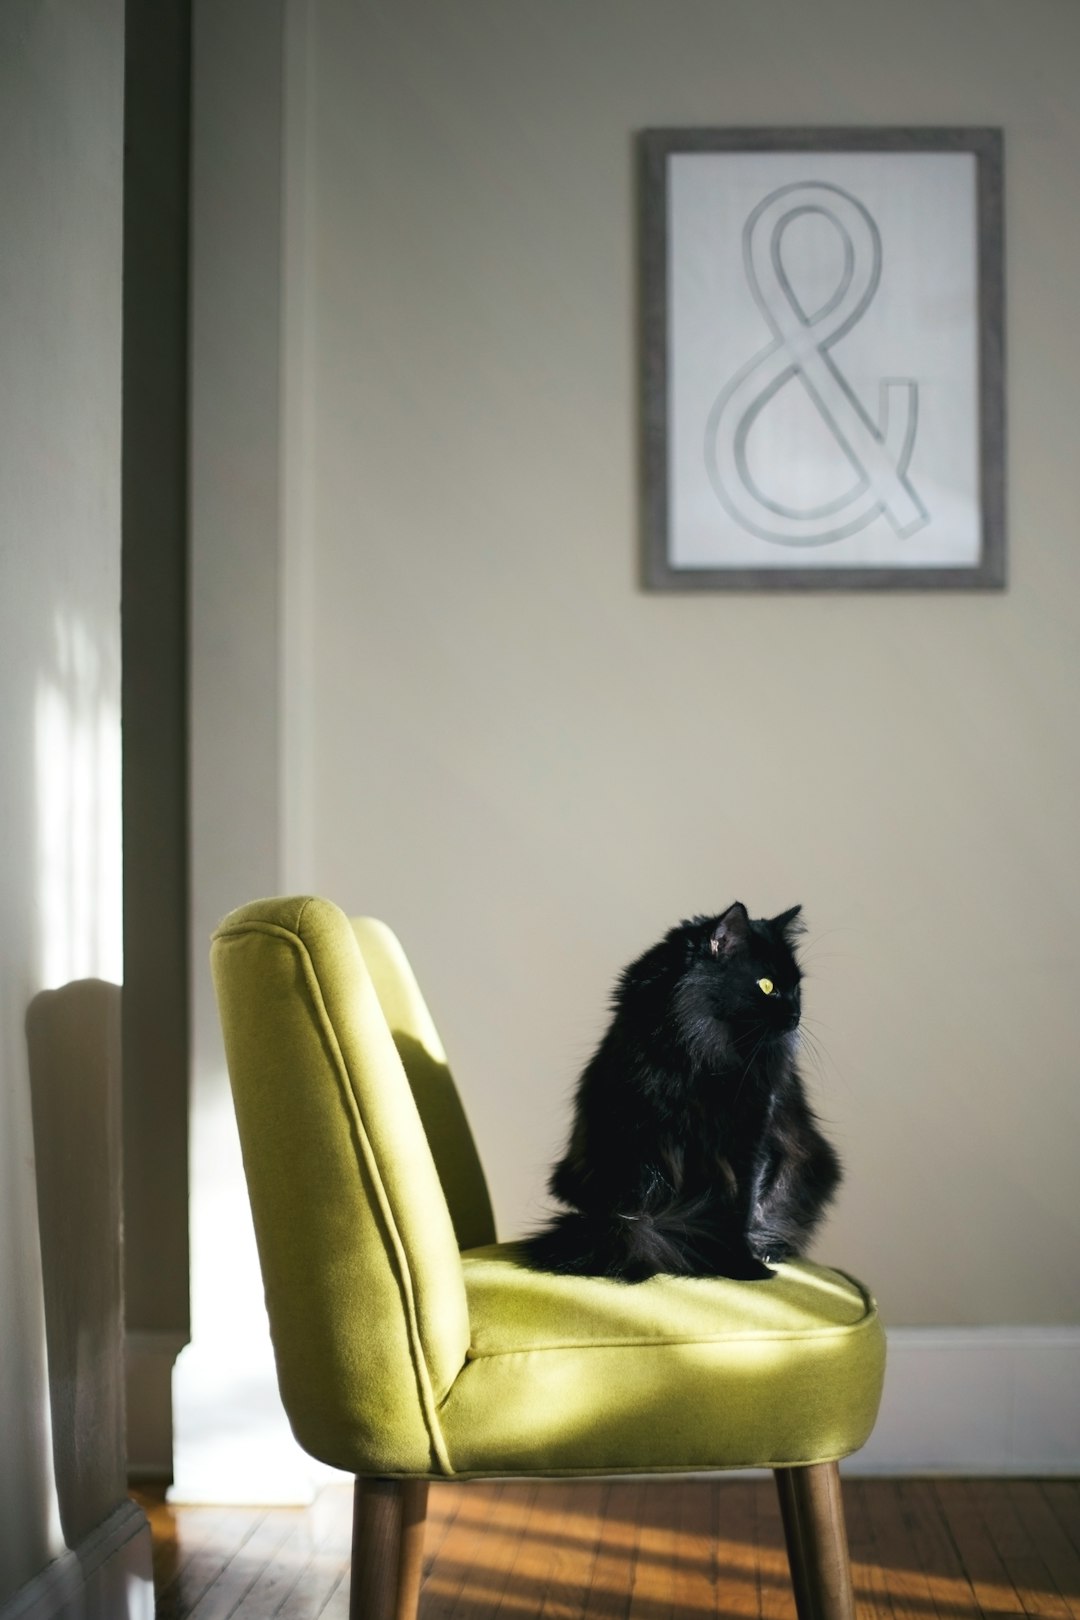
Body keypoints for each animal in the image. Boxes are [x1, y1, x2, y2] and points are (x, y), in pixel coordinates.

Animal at [524, 900, 841, 1276]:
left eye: (797, 988)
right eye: (767, 986)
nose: (796, 1014)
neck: (706, 1057)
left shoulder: (751, 1137)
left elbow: (743, 1206)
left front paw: (742, 1261)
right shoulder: (644, 1136)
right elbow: (644, 1202)